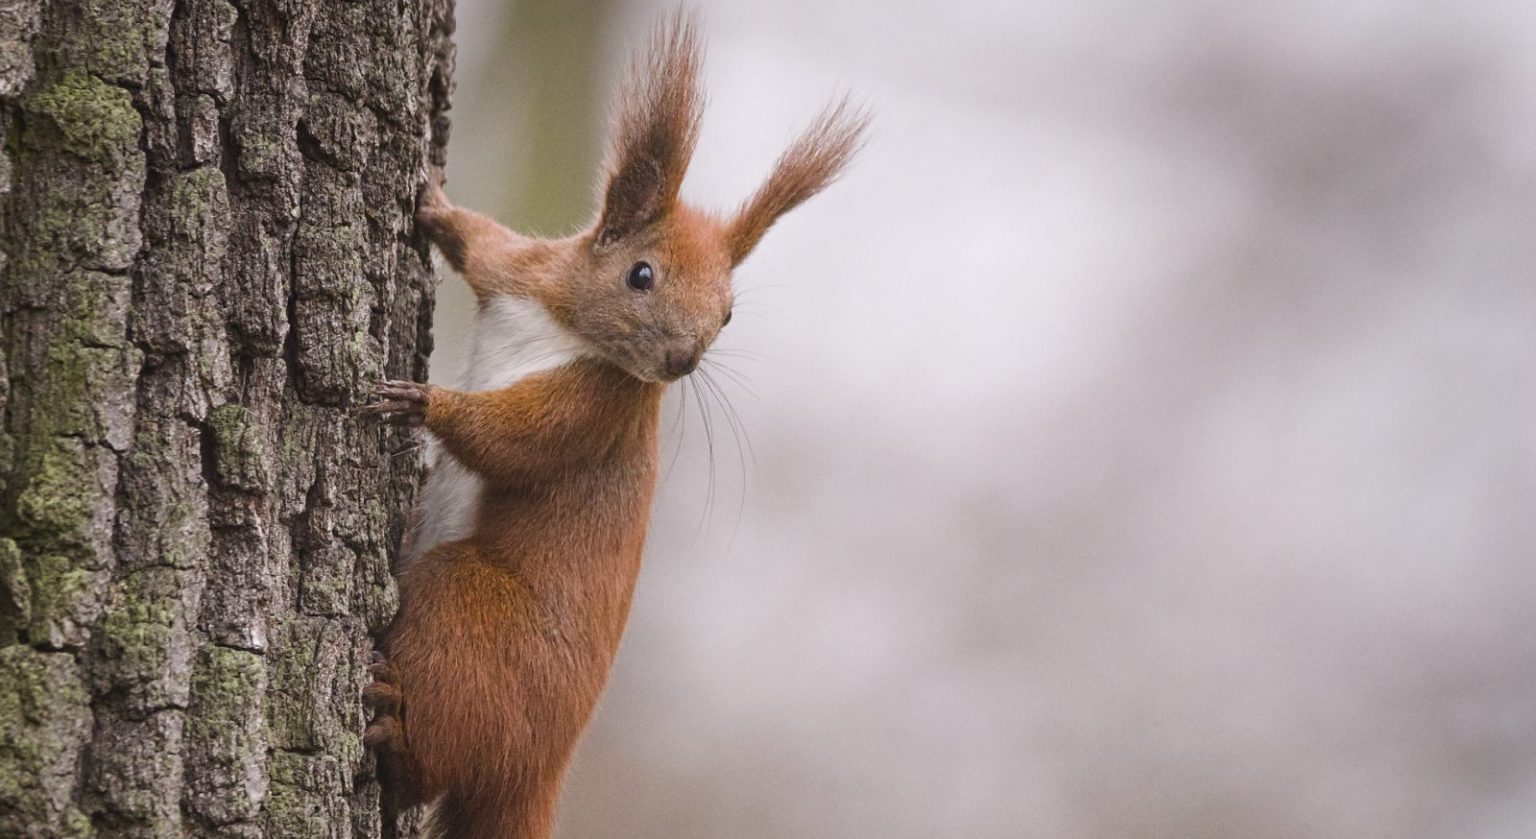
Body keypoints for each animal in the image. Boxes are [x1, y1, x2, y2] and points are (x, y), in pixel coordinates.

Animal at [356, 14, 866, 835]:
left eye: (729, 313)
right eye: (642, 274)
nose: (683, 359)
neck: (566, 325)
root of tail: (537, 773)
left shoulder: (595, 411)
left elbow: (514, 443)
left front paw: (425, 404)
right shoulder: (522, 272)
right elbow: (479, 240)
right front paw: (431, 203)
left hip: (465, 610)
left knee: (428, 766)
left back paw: (396, 739)